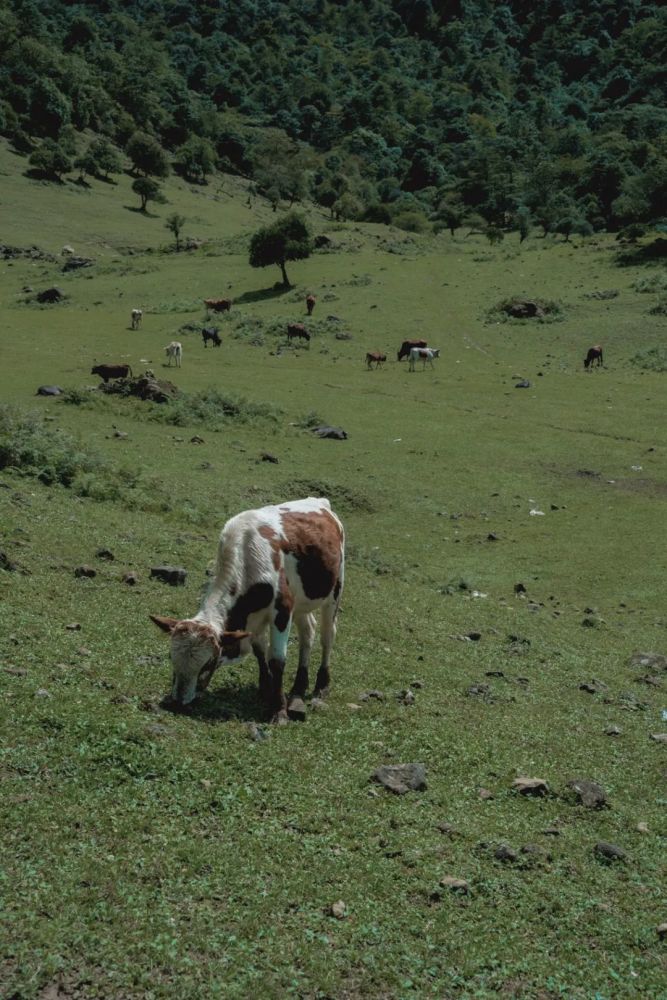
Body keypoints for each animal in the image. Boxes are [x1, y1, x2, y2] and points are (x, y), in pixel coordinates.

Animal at [150, 498, 344, 720]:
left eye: (207, 664)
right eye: (171, 657)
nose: (179, 702)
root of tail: (320, 501)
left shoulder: (282, 609)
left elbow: (277, 660)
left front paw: (278, 710)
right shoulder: (255, 619)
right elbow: (260, 651)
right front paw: (266, 689)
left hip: (334, 591)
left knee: (327, 636)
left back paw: (321, 686)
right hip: (302, 602)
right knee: (307, 632)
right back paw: (298, 689)